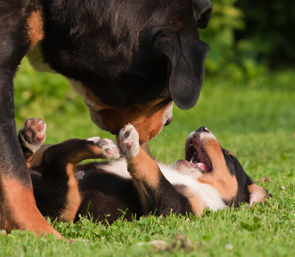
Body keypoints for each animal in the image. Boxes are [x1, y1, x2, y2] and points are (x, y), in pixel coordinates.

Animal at [19, 118, 272, 222]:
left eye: (229, 156)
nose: (203, 127)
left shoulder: (172, 210)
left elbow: (153, 172)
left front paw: (133, 145)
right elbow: (154, 165)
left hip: (66, 206)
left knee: (56, 160)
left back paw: (99, 146)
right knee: (41, 158)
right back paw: (31, 137)